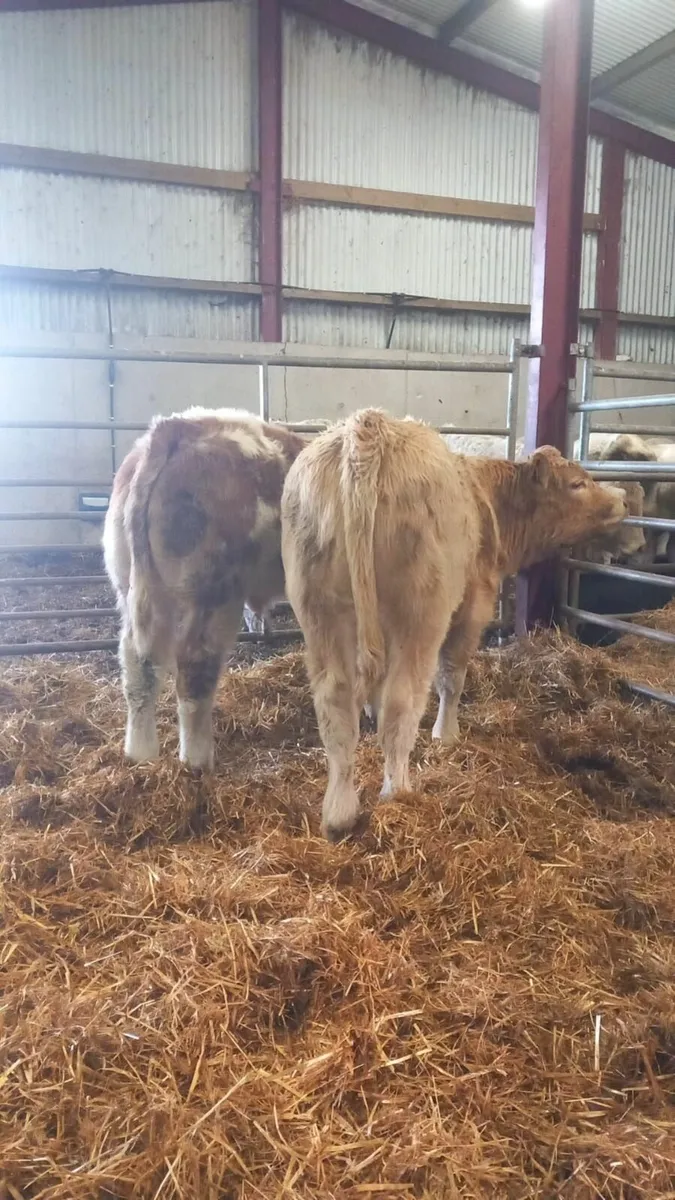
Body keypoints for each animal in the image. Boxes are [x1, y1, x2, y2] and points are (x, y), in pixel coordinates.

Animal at [103, 407, 306, 768]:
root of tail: (177, 428)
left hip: (134, 590)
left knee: (138, 667)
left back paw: (141, 756)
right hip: (214, 595)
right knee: (195, 667)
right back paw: (197, 760)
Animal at [281, 409, 627, 840]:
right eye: (577, 483)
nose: (622, 497)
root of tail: (369, 426)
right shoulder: (474, 602)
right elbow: (453, 676)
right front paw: (445, 736)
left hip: (321, 611)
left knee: (335, 703)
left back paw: (340, 813)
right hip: (421, 614)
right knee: (403, 700)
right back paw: (398, 791)